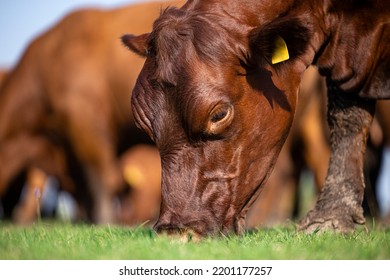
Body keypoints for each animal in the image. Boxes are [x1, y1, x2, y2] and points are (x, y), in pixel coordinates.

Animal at [122, 0, 390, 236]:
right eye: (145, 126)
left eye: (218, 115)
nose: (176, 232)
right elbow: (348, 117)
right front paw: (334, 216)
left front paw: (332, 219)